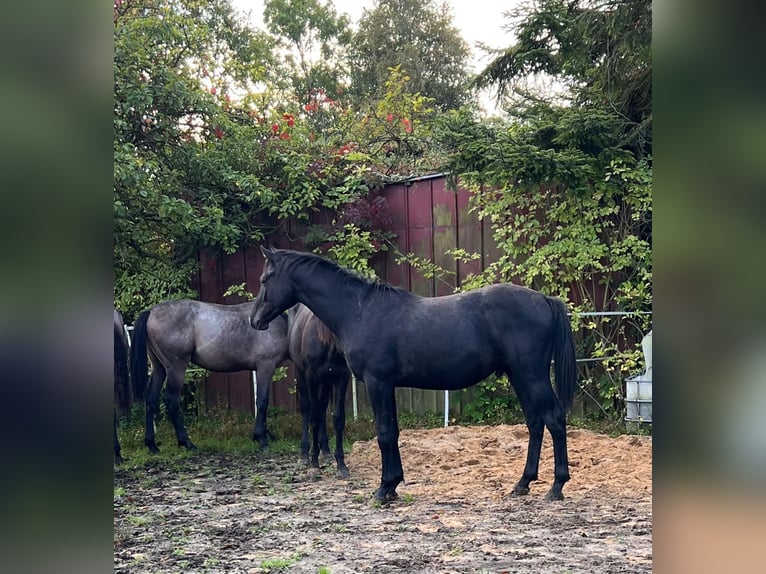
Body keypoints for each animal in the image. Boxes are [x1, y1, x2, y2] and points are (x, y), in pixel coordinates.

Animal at [130, 299, 289, 453]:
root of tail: (151, 312)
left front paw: (266, 435)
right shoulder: (265, 365)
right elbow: (262, 401)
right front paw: (261, 438)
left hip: (159, 368)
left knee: (151, 398)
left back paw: (152, 445)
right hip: (175, 368)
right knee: (171, 399)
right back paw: (187, 443)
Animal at [288, 303, 351, 478]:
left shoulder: (342, 377)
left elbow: (338, 418)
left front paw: (341, 465)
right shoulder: (311, 377)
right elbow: (313, 416)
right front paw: (314, 464)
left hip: (326, 381)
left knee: (322, 407)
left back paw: (326, 452)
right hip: (301, 374)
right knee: (307, 408)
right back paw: (304, 455)